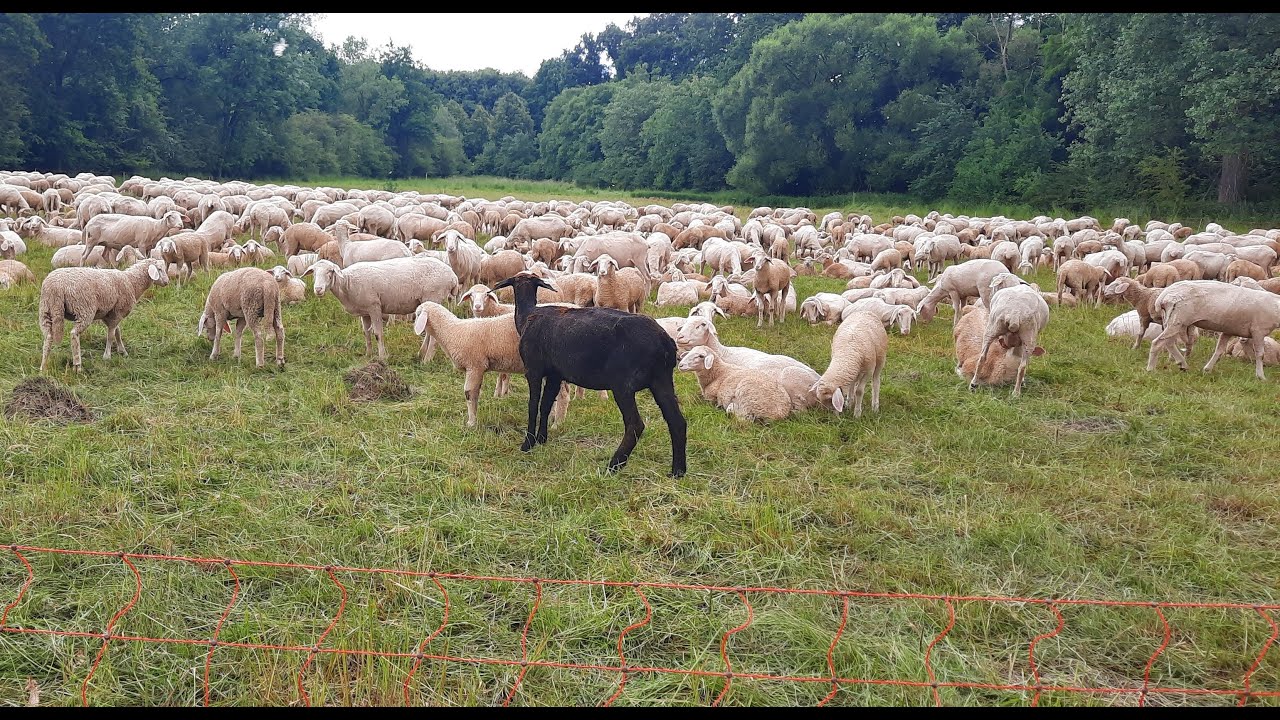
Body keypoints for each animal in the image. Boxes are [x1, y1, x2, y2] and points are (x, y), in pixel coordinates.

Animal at [38, 258, 170, 372]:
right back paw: (78, 365)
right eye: (159, 269)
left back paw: (43, 366)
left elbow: (118, 332)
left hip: (45, 309)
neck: (132, 282)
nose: (167, 282)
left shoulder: (111, 314)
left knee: (48, 336)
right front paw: (107, 356)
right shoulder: (117, 313)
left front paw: (123, 351)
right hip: (84, 309)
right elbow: (111, 335)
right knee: (74, 334)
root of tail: (56, 287)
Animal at [302, 256, 459, 362]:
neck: (347, 283)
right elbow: (366, 333)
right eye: (314, 272)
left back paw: (427, 359)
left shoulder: (374, 307)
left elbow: (378, 333)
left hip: (434, 297)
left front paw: (382, 357)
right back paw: (421, 353)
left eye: (330, 271)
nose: (318, 289)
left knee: (433, 335)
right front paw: (368, 354)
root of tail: (453, 276)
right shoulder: (364, 312)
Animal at [491, 273, 687, 477]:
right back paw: (677, 471)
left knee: (635, 425)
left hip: (623, 385)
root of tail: (664, 342)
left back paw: (614, 465)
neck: (527, 315)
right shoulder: (554, 375)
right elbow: (545, 406)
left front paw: (528, 444)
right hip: (661, 380)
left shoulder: (533, 370)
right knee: (677, 421)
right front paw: (541, 439)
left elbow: (533, 406)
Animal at [1147, 281, 1280, 380]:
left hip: (1172, 320)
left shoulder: (1228, 330)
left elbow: (1219, 350)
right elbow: (1260, 354)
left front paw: (1207, 369)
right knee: (1157, 343)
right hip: (1177, 319)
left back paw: (1182, 364)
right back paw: (1150, 369)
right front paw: (1261, 377)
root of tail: (1163, 295)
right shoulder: (1258, 331)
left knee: (1169, 343)